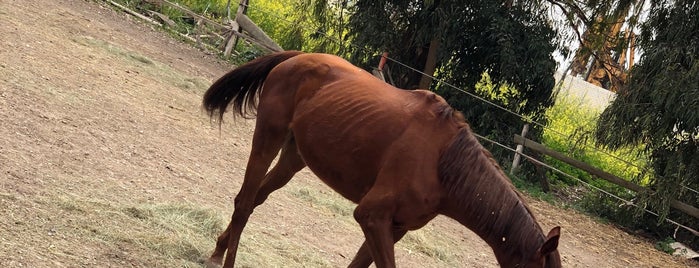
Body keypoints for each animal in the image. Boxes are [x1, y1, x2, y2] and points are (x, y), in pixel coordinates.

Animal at [202, 50, 564, 268]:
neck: (443, 164)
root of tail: (298, 57)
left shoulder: (394, 227)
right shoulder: (372, 216)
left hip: (294, 157)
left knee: (255, 198)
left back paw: (218, 250)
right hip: (268, 137)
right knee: (244, 201)